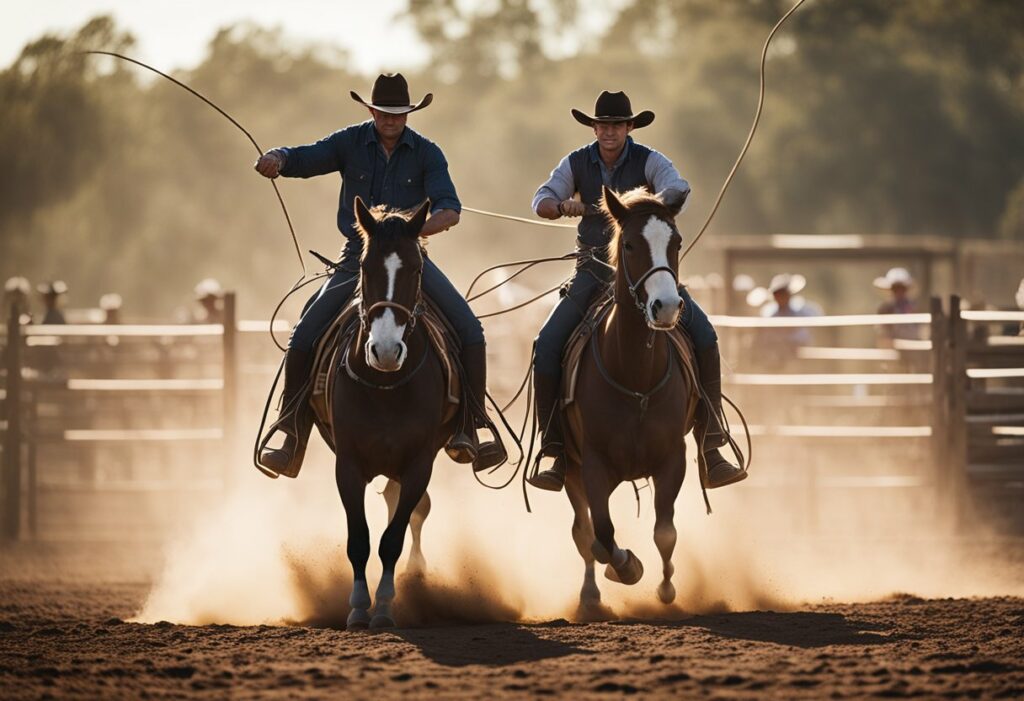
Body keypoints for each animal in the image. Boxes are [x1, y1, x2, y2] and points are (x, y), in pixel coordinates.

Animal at [333, 196, 454, 630]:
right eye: (366, 267)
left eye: (416, 268)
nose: (385, 351)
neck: (386, 388)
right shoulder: (348, 465)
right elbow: (359, 540)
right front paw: (356, 607)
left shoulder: (419, 464)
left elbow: (393, 539)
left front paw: (384, 607)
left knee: (412, 512)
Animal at [561, 184, 696, 614]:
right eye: (631, 244)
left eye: (676, 242)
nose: (666, 307)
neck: (635, 376)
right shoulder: (592, 465)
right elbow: (601, 533)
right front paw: (627, 567)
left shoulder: (673, 458)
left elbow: (665, 531)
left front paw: (666, 589)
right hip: (569, 469)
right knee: (583, 532)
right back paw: (590, 595)